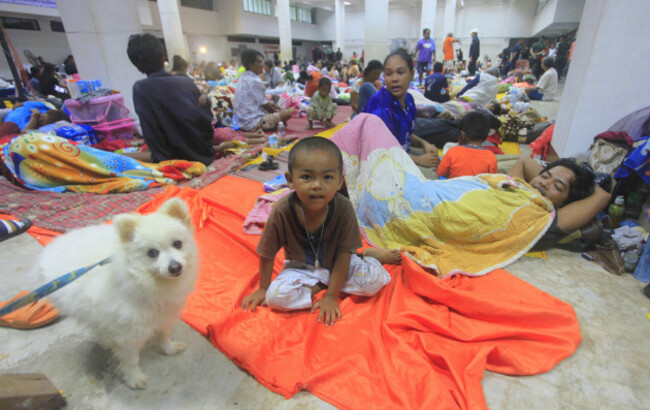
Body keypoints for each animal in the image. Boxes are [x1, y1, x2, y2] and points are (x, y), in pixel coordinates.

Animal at [37, 199, 199, 390]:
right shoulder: (128, 333)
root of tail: (53, 245)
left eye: (177, 244)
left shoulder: (164, 314)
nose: (175, 267)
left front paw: (169, 348)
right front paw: (134, 378)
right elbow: (131, 360)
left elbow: (163, 335)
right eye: (152, 253)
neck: (148, 283)